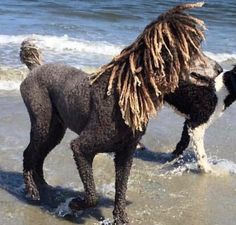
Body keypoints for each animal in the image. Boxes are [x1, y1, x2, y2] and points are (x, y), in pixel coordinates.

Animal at [20, 2, 214, 224]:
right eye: (193, 50)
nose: (219, 68)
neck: (127, 94)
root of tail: (36, 68)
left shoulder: (125, 153)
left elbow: (121, 189)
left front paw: (120, 218)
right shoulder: (81, 148)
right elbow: (93, 195)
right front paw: (75, 204)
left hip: (55, 128)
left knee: (39, 156)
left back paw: (44, 186)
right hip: (41, 120)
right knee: (29, 154)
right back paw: (32, 191)